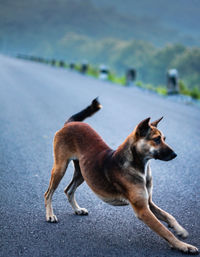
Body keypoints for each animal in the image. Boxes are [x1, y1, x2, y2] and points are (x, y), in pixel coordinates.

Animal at [44, 97, 199, 253]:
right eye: (156, 139)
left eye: (164, 139)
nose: (175, 154)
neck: (138, 165)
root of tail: (71, 123)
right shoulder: (143, 209)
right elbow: (164, 231)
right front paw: (182, 245)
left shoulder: (148, 203)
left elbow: (169, 216)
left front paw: (179, 230)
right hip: (60, 168)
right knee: (48, 193)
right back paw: (50, 215)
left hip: (82, 173)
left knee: (68, 190)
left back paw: (77, 209)